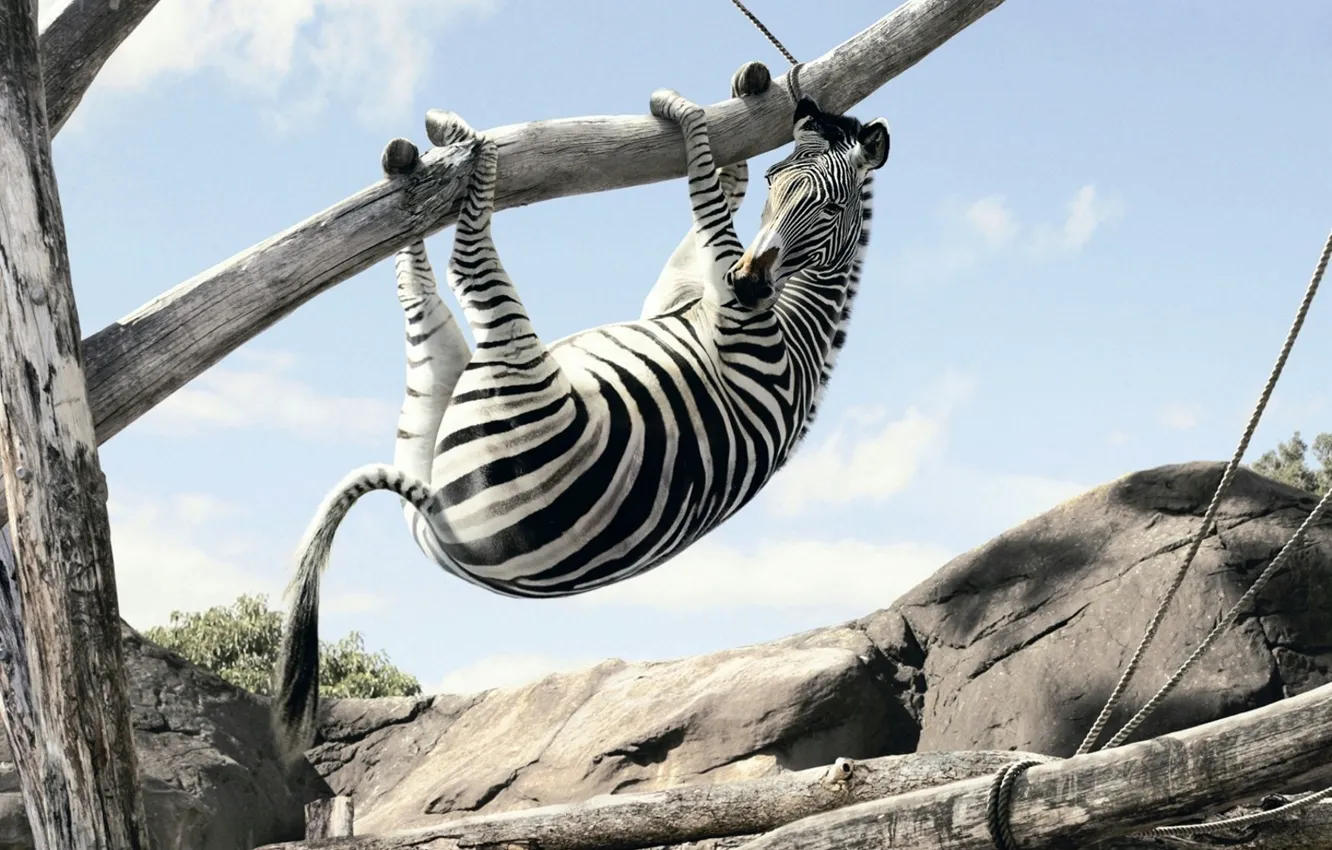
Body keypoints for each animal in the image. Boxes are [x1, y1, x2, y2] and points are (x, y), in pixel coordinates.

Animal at [273, 61, 890, 760]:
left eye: (831, 206)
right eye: (776, 182)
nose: (749, 280)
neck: (796, 324)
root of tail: (439, 520)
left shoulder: (734, 318)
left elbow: (704, 197)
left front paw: (680, 111)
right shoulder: (680, 293)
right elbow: (711, 200)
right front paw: (730, 104)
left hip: (508, 366)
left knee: (467, 261)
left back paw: (465, 146)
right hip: (430, 400)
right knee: (418, 287)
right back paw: (412, 175)